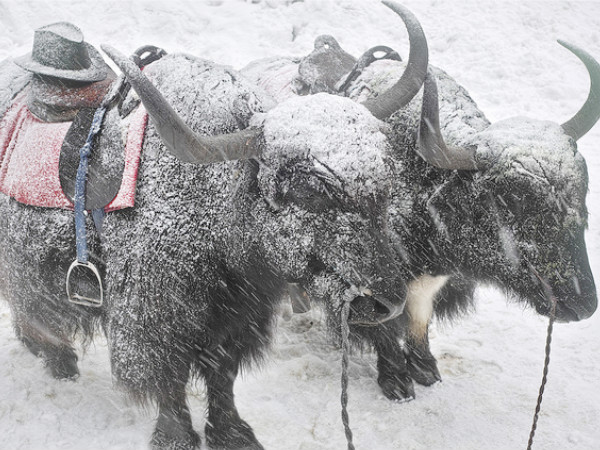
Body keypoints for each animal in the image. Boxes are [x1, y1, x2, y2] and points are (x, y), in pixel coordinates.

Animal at [0, 4, 426, 450]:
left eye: (384, 182)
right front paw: (177, 436)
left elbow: (222, 373)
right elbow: (168, 378)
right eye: (308, 190)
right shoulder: (155, 315)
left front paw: (232, 433)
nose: (386, 303)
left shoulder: (239, 314)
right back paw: (59, 361)